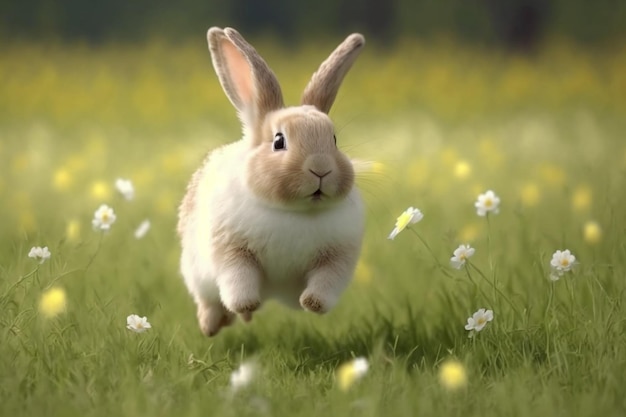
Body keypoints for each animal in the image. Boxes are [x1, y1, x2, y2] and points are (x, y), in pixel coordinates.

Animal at [176, 26, 366, 334]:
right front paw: (246, 305)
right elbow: (237, 280)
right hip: (196, 271)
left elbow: (325, 283)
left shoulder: (337, 257)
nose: (321, 168)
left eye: (334, 140)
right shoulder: (232, 250)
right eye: (279, 141)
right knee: (209, 301)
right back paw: (211, 325)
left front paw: (312, 304)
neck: (295, 212)